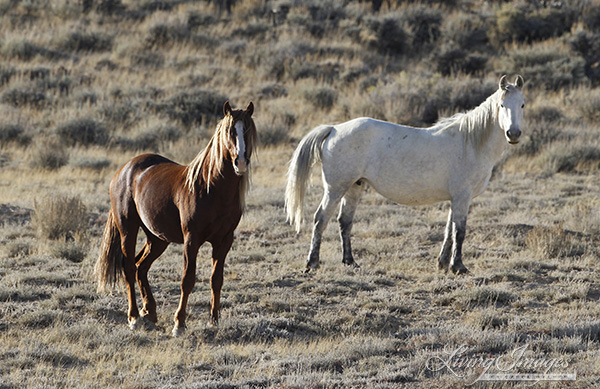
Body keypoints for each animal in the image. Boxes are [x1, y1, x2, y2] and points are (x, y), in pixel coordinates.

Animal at [95, 101, 255, 334]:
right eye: (230, 131)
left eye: (248, 130)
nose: (240, 162)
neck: (212, 188)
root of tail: (124, 170)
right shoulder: (191, 239)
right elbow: (187, 280)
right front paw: (179, 323)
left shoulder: (224, 241)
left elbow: (216, 279)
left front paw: (214, 320)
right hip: (128, 230)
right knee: (129, 267)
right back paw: (134, 317)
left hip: (157, 238)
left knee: (141, 266)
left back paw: (149, 312)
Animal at [286, 75, 524, 272]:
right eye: (502, 105)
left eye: (522, 104)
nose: (513, 134)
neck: (470, 142)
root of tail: (334, 129)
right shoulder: (462, 197)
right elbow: (459, 232)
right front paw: (458, 267)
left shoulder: (456, 199)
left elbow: (449, 231)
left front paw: (443, 264)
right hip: (335, 189)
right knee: (320, 219)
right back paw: (312, 263)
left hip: (354, 187)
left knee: (345, 222)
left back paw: (351, 262)